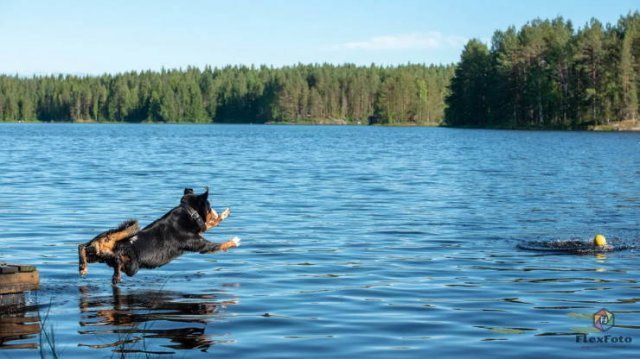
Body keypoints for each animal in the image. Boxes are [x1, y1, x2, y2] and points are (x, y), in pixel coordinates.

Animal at [79, 190, 240, 286]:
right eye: (209, 206)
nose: (215, 211)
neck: (189, 213)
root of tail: (115, 245)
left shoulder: (200, 229)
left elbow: (211, 223)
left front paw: (223, 214)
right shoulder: (198, 243)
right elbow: (216, 245)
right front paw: (233, 242)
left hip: (98, 253)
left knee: (82, 246)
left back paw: (83, 267)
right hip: (130, 265)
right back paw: (114, 275)